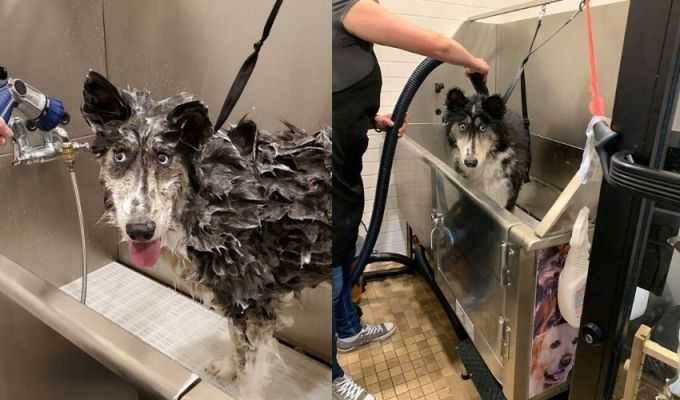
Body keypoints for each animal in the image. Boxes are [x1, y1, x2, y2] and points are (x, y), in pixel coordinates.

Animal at [81, 71, 330, 390]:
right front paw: (228, 368)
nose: (140, 230)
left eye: (164, 157)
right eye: (120, 155)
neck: (208, 199)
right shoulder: (234, 295)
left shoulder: (256, 302)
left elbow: (250, 375)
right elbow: (236, 343)